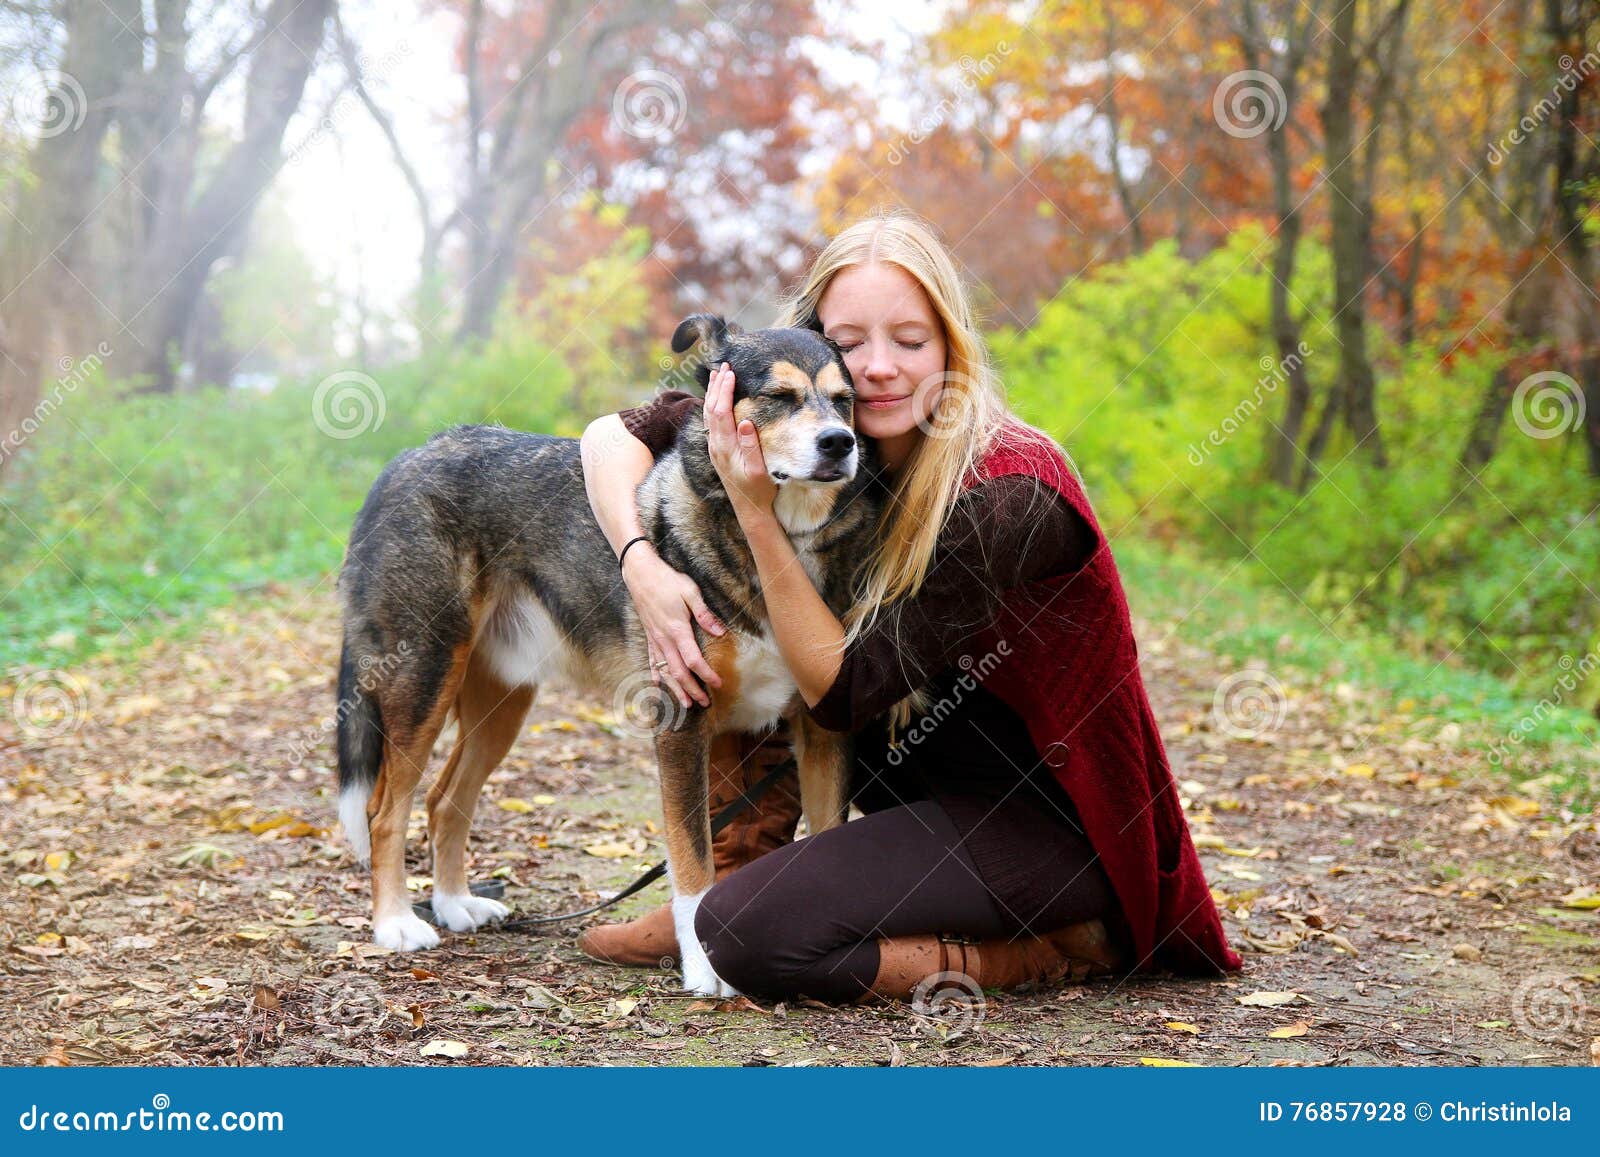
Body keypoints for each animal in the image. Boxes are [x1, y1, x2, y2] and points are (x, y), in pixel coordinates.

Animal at [331, 315, 883, 998]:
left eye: (844, 400)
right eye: (780, 397)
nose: (839, 444)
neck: (774, 542)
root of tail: (405, 460)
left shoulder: (822, 728)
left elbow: (826, 838)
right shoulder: (682, 724)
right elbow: (694, 869)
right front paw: (704, 969)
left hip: (501, 703)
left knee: (443, 801)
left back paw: (456, 904)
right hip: (425, 676)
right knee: (384, 810)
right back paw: (395, 924)